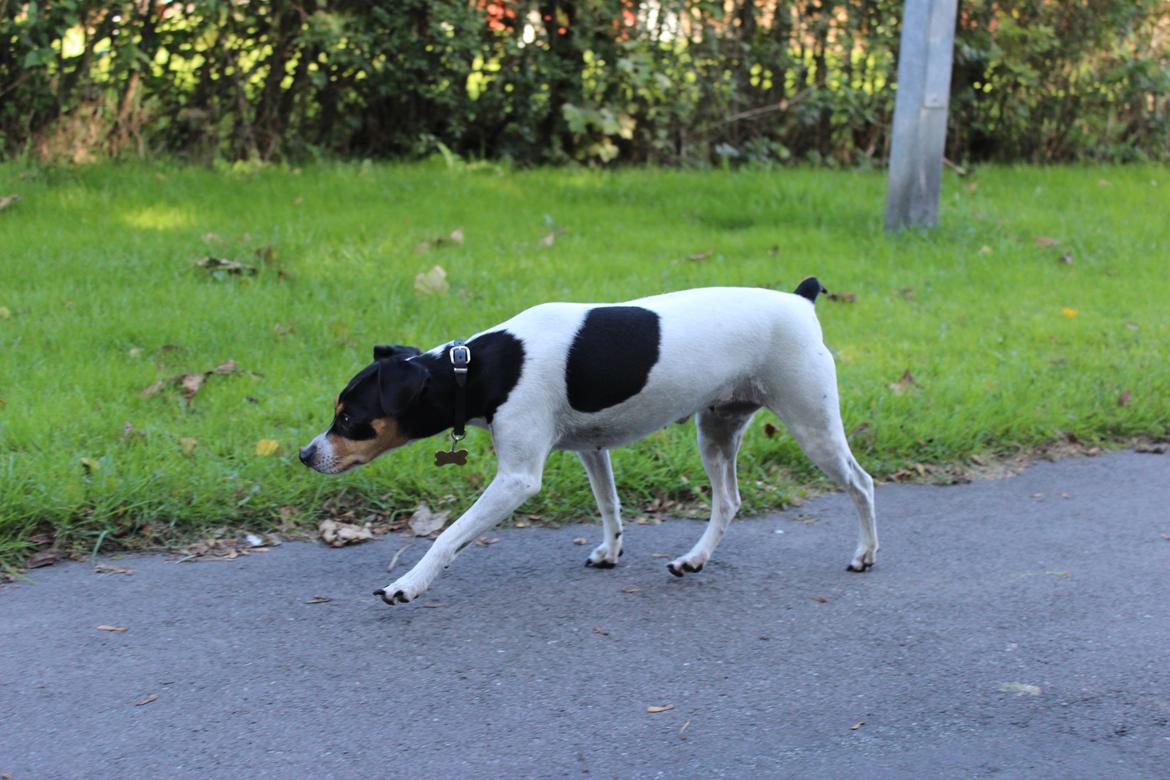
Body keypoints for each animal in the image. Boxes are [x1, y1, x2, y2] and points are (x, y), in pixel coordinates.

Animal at [301, 277, 879, 608]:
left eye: (349, 418)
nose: (306, 455)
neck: (475, 369)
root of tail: (800, 300)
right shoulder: (591, 448)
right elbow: (610, 505)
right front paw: (611, 552)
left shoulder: (516, 480)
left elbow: (447, 537)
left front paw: (409, 584)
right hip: (716, 429)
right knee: (729, 501)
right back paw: (693, 560)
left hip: (812, 425)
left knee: (862, 483)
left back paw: (865, 554)